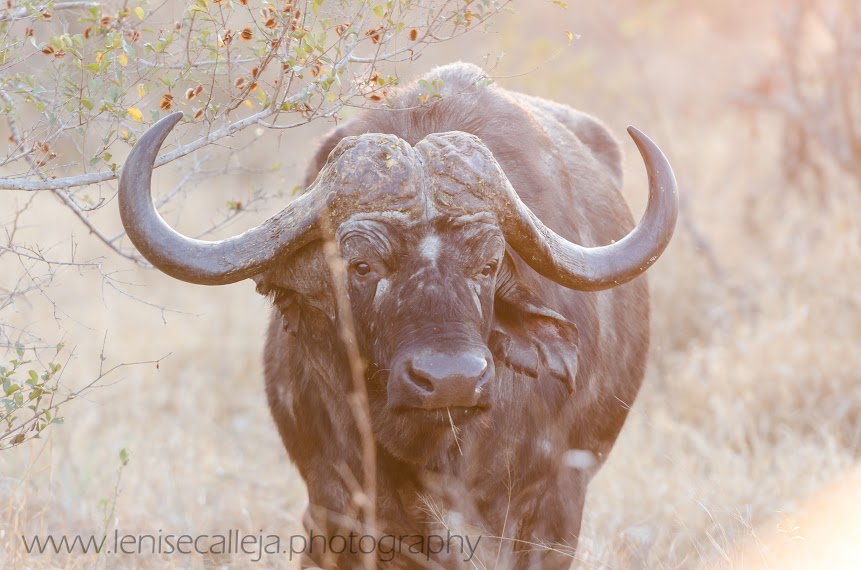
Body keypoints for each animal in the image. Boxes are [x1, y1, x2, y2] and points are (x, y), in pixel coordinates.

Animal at [119, 62, 678, 568]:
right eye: (361, 264)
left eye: (488, 265)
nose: (451, 379)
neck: (435, 451)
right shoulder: (335, 507)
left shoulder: (552, 508)